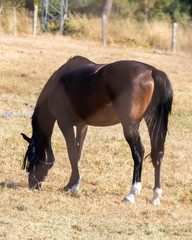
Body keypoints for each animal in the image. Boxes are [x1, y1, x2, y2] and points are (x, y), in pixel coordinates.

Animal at [21, 55, 172, 204]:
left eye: (30, 156)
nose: (31, 183)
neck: (57, 82)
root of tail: (152, 71)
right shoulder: (82, 125)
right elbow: (77, 153)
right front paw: (74, 184)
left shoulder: (64, 122)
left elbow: (71, 152)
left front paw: (70, 185)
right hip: (151, 121)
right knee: (158, 154)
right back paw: (155, 196)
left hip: (130, 126)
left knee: (138, 152)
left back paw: (131, 193)